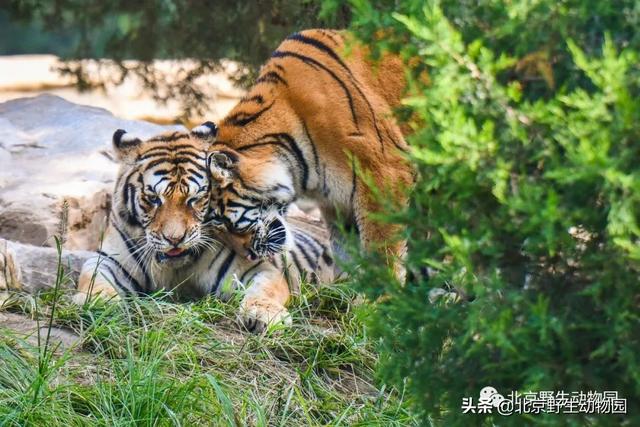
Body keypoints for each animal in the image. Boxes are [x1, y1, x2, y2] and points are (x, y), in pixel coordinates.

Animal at [75, 125, 336, 332]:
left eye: (195, 199)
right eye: (154, 199)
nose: (175, 239)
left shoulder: (256, 269)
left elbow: (266, 289)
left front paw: (265, 315)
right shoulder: (109, 259)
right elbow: (92, 277)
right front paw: (97, 301)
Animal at [206, 28, 416, 280]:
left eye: (225, 223)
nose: (250, 256)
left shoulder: (384, 173)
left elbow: (381, 248)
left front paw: (381, 288)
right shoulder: (337, 200)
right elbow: (344, 250)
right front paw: (342, 287)